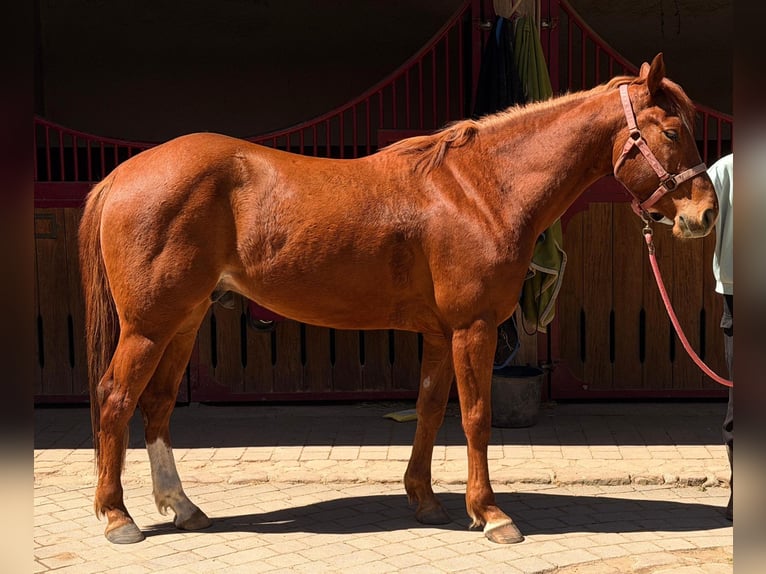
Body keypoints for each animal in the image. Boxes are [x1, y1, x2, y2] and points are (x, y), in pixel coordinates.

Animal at [79, 53, 717, 545]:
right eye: (670, 131)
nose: (705, 215)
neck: (481, 189)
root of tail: (123, 174)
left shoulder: (441, 333)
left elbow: (431, 412)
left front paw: (426, 501)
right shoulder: (474, 328)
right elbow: (477, 417)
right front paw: (491, 515)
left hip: (183, 321)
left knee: (157, 406)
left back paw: (184, 509)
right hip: (149, 326)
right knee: (115, 399)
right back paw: (117, 517)